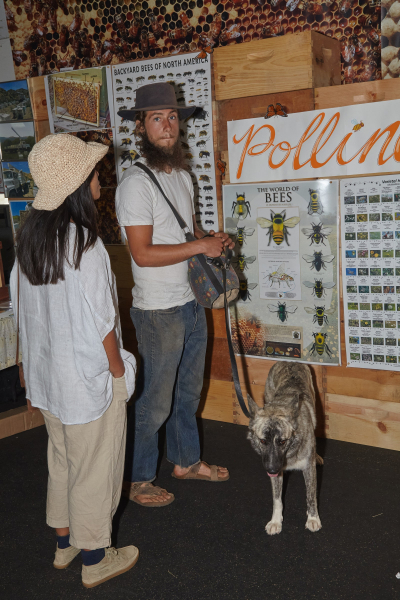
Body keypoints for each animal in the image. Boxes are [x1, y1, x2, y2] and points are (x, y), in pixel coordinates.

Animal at [247, 360, 322, 536]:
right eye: (263, 441)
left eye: (282, 442)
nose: (272, 470)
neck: (290, 453)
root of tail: (289, 361)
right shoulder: (276, 472)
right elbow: (277, 499)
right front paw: (276, 521)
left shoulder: (309, 469)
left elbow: (311, 496)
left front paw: (313, 518)